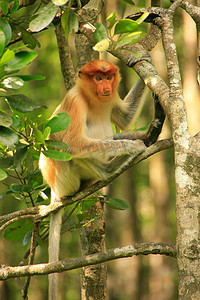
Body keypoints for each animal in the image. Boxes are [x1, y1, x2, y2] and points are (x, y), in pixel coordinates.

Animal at [39, 59, 147, 300]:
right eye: (97, 78)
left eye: (108, 77)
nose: (105, 88)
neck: (92, 99)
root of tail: (54, 191)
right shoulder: (74, 102)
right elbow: (73, 144)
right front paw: (133, 146)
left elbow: (125, 118)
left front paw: (145, 57)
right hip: (65, 177)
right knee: (72, 150)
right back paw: (111, 166)